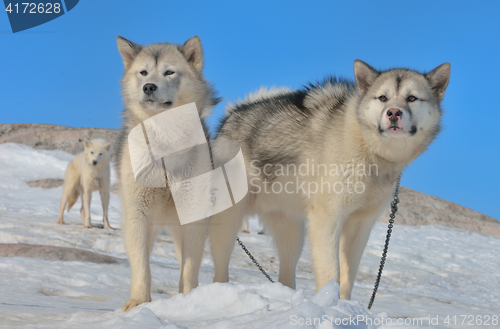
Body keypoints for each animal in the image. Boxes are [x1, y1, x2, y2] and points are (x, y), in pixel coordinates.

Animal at [116, 36, 220, 310]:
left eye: (169, 72)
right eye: (143, 72)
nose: (149, 87)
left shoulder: (193, 217)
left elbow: (189, 267)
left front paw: (190, 300)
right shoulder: (138, 215)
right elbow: (141, 266)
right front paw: (138, 303)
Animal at [209, 60, 452, 298]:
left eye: (412, 98)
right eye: (383, 97)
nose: (393, 113)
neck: (367, 149)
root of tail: (230, 118)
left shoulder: (360, 226)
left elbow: (347, 277)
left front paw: (345, 307)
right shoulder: (328, 218)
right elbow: (330, 272)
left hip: (292, 233)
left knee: (286, 272)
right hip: (228, 224)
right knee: (219, 270)